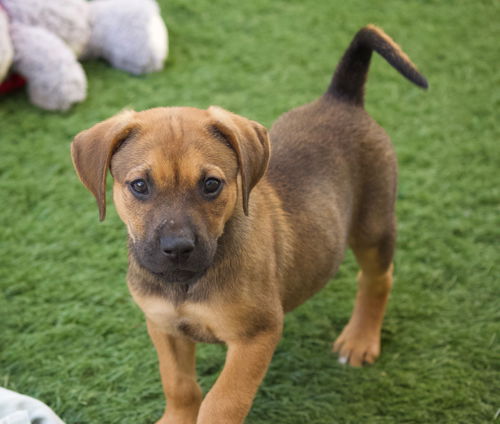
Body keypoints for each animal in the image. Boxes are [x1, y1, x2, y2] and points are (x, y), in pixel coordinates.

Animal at [72, 25, 428, 424]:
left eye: (211, 184)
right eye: (139, 186)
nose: (177, 249)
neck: (186, 285)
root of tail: (342, 98)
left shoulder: (257, 334)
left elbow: (222, 402)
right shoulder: (163, 326)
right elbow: (179, 385)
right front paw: (176, 417)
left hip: (373, 225)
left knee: (377, 278)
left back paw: (360, 338)